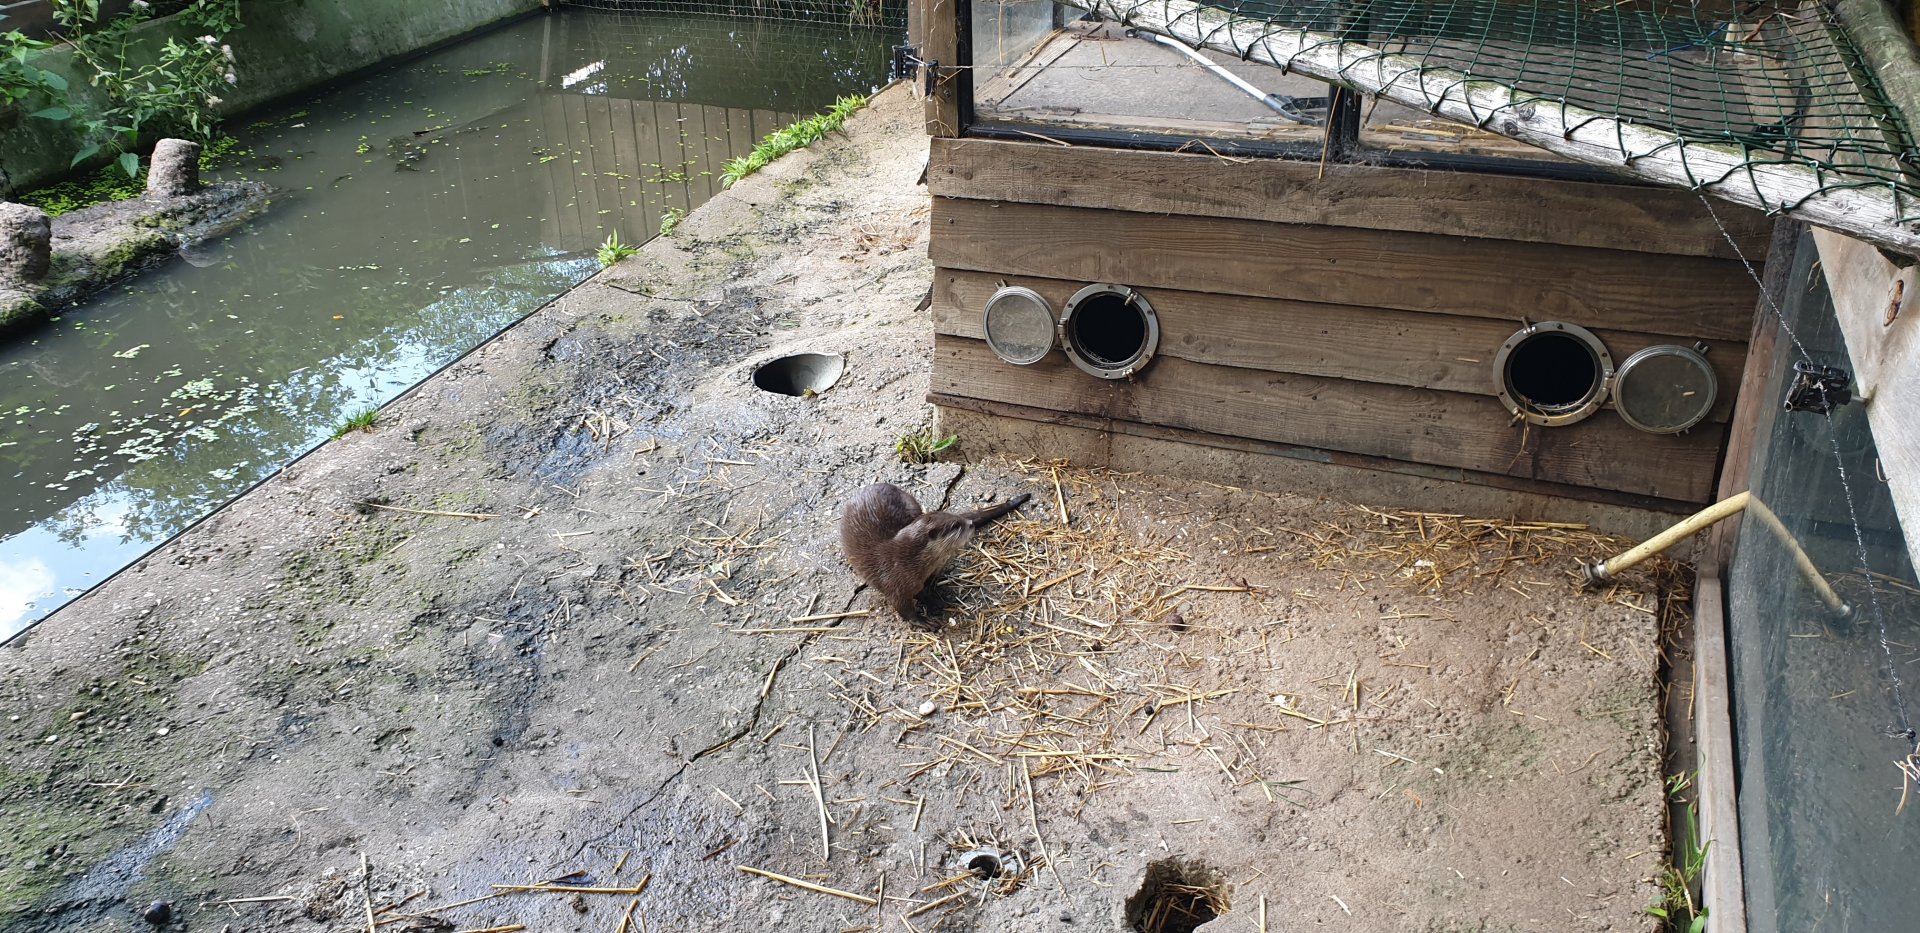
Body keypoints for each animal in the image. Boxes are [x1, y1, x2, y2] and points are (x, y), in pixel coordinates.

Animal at [840, 483, 1032, 629]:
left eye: (953, 515)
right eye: (955, 525)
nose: (970, 523)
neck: (903, 561)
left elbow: (922, 591)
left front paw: (934, 600)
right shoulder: (894, 583)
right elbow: (904, 609)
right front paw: (923, 620)